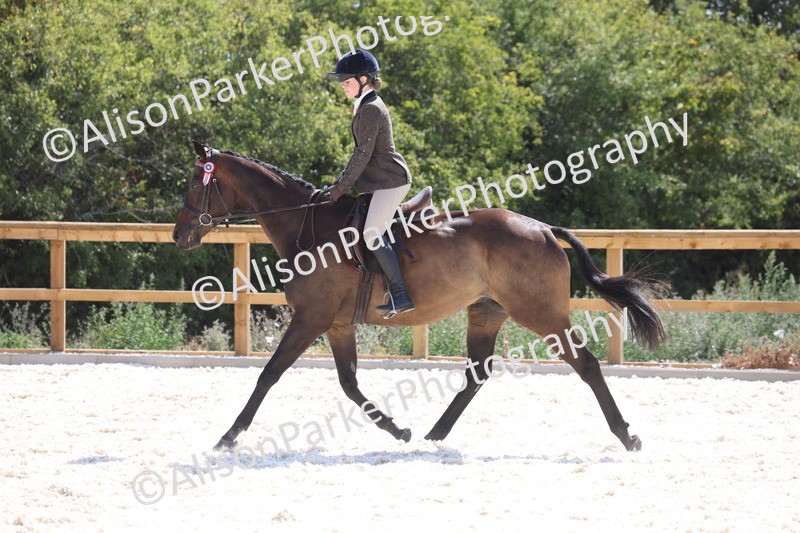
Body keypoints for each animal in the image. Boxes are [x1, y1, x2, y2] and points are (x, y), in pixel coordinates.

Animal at [173, 141, 666, 452]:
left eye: (196, 184)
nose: (179, 236)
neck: (306, 227)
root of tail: (543, 228)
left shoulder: (310, 319)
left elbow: (268, 375)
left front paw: (228, 437)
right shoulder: (336, 323)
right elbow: (349, 383)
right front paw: (398, 431)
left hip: (542, 315)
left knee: (587, 365)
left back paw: (627, 436)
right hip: (486, 313)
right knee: (476, 376)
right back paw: (433, 435)